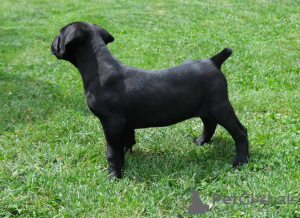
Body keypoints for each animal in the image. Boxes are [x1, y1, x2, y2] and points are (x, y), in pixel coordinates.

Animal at [51, 21, 248, 179]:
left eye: (59, 34)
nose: (52, 42)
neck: (99, 67)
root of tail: (213, 61)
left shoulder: (111, 122)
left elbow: (112, 152)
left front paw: (114, 176)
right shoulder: (124, 123)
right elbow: (127, 140)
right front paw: (127, 157)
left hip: (220, 107)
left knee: (240, 132)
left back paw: (241, 161)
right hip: (205, 107)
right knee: (210, 124)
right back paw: (201, 142)